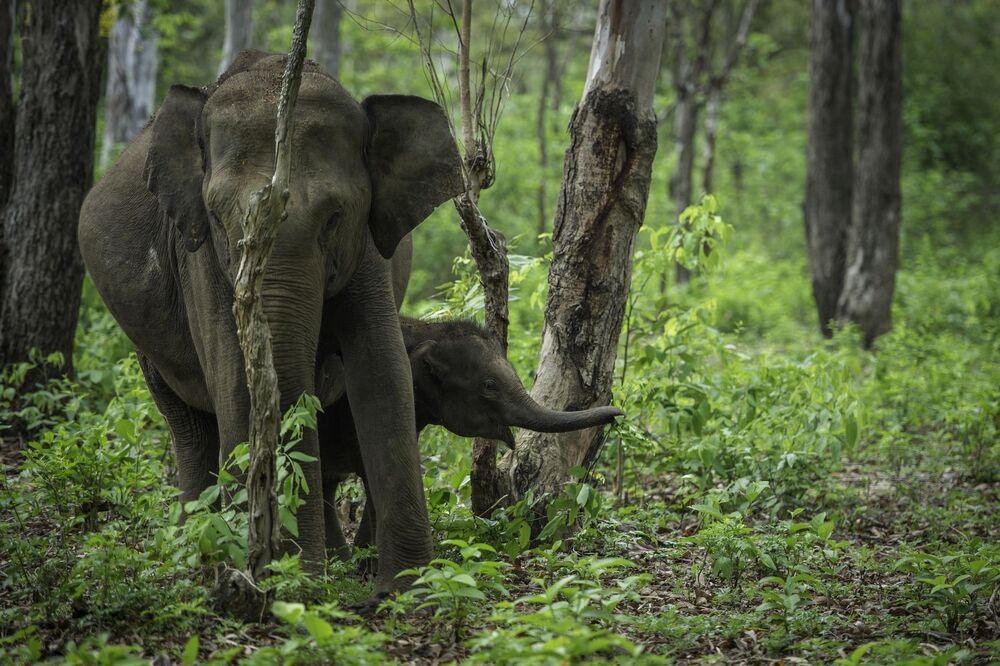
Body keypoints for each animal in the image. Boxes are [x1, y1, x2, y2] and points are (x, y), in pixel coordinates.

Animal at [77, 50, 466, 595]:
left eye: (334, 218)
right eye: (219, 218)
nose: (285, 564)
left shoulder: (368, 249)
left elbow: (383, 374)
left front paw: (408, 589)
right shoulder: (199, 256)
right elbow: (237, 383)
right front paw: (286, 580)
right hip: (148, 348)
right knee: (188, 427)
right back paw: (198, 558)